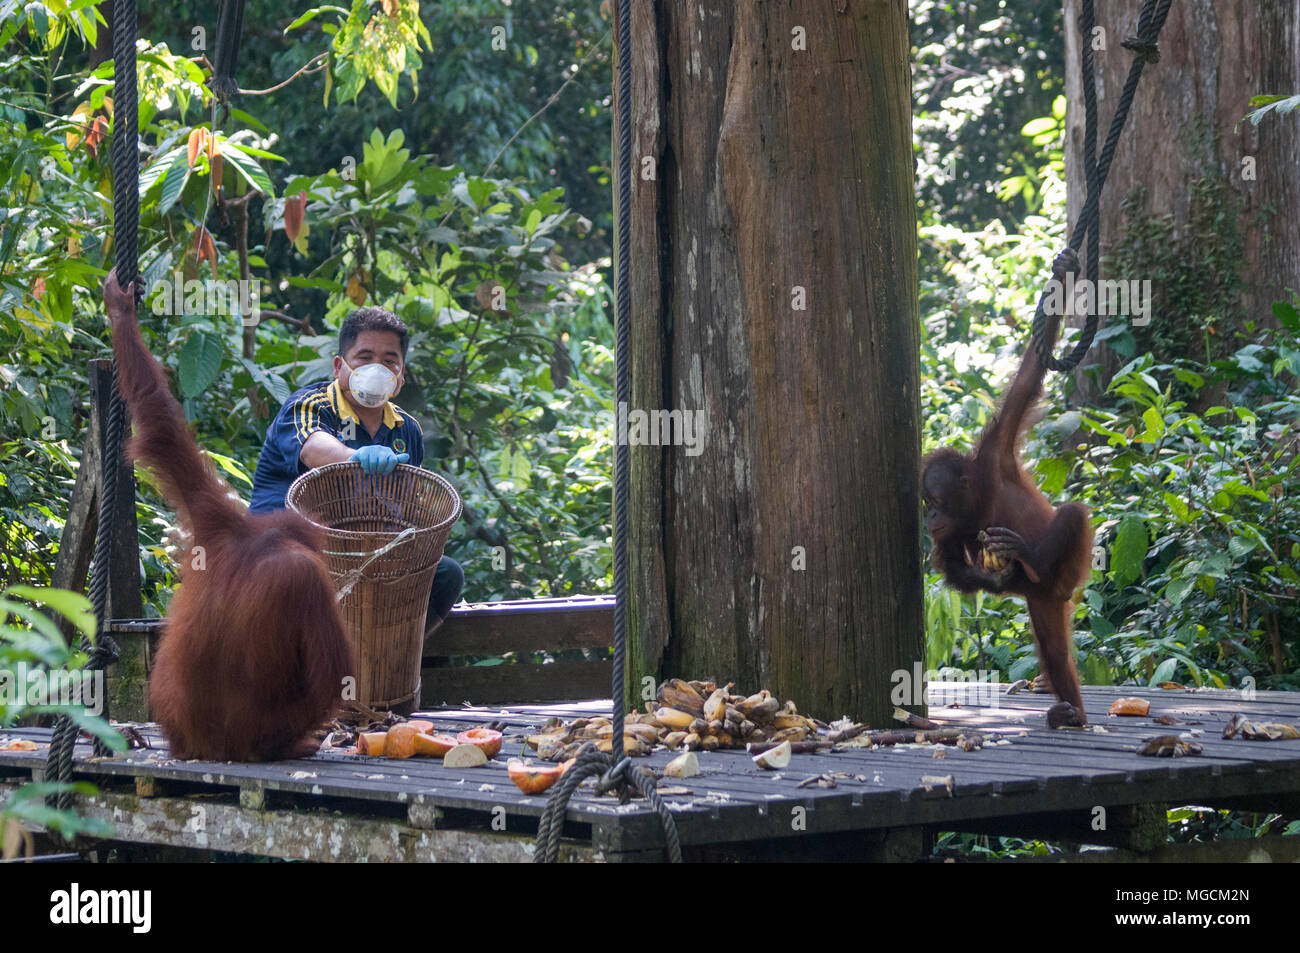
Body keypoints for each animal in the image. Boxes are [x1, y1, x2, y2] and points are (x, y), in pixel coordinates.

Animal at [102, 268, 356, 761]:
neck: (263, 540)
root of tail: (209, 748)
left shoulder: (212, 515)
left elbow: (161, 428)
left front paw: (120, 310)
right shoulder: (308, 577)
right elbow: (333, 677)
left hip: (173, 720)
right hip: (263, 736)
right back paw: (303, 742)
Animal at [922, 250, 1093, 728]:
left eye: (936, 500)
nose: (930, 516)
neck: (980, 498)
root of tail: (1052, 590)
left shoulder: (997, 447)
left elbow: (1030, 375)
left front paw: (1062, 273)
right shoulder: (953, 533)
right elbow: (951, 564)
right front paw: (992, 576)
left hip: (1070, 568)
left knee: (1072, 514)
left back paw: (1031, 557)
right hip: (1042, 601)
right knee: (1053, 648)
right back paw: (1072, 711)